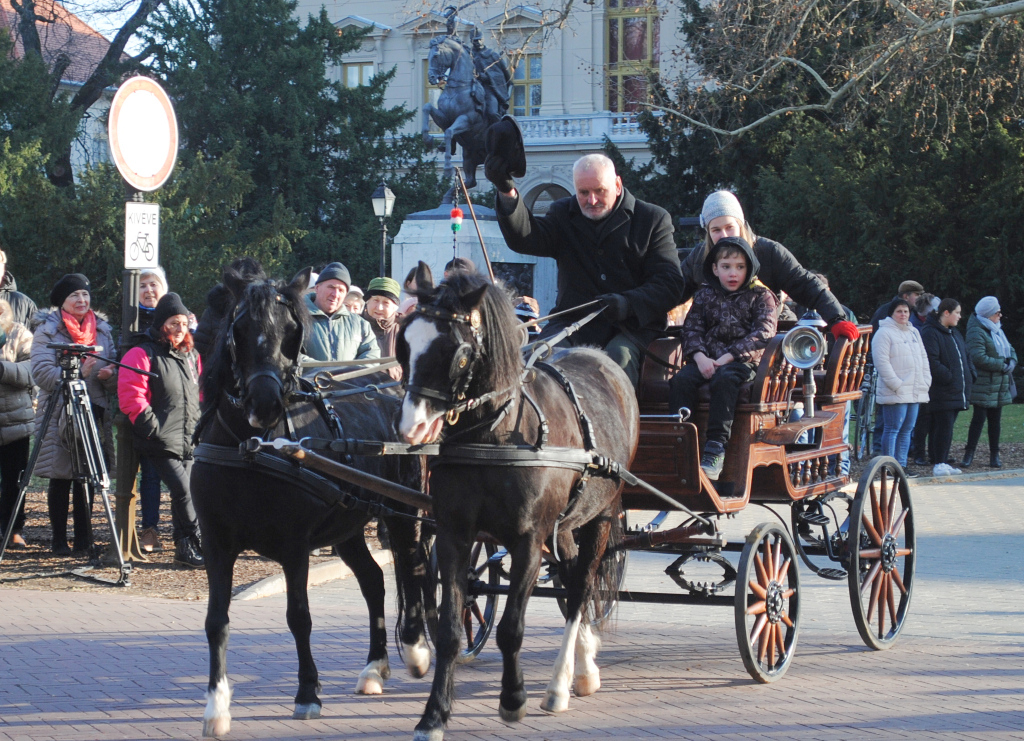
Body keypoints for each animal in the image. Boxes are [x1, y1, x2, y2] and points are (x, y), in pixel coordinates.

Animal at [193, 264, 430, 736]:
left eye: (291, 332)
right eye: (239, 329)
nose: (264, 403)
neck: (252, 448)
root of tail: (389, 386)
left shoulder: (294, 545)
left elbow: (299, 617)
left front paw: (307, 693)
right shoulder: (216, 543)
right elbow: (216, 621)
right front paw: (217, 706)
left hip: (402, 512)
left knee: (411, 569)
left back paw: (415, 650)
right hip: (350, 523)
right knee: (373, 581)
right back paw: (374, 667)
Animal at [395, 264, 634, 736]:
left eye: (458, 353)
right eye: (404, 342)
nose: (412, 429)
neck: (497, 435)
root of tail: (601, 358)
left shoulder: (528, 541)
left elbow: (511, 629)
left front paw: (513, 699)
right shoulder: (454, 535)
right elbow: (449, 630)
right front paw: (434, 714)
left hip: (600, 516)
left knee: (581, 586)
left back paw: (561, 684)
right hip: (565, 527)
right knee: (571, 575)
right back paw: (584, 666)